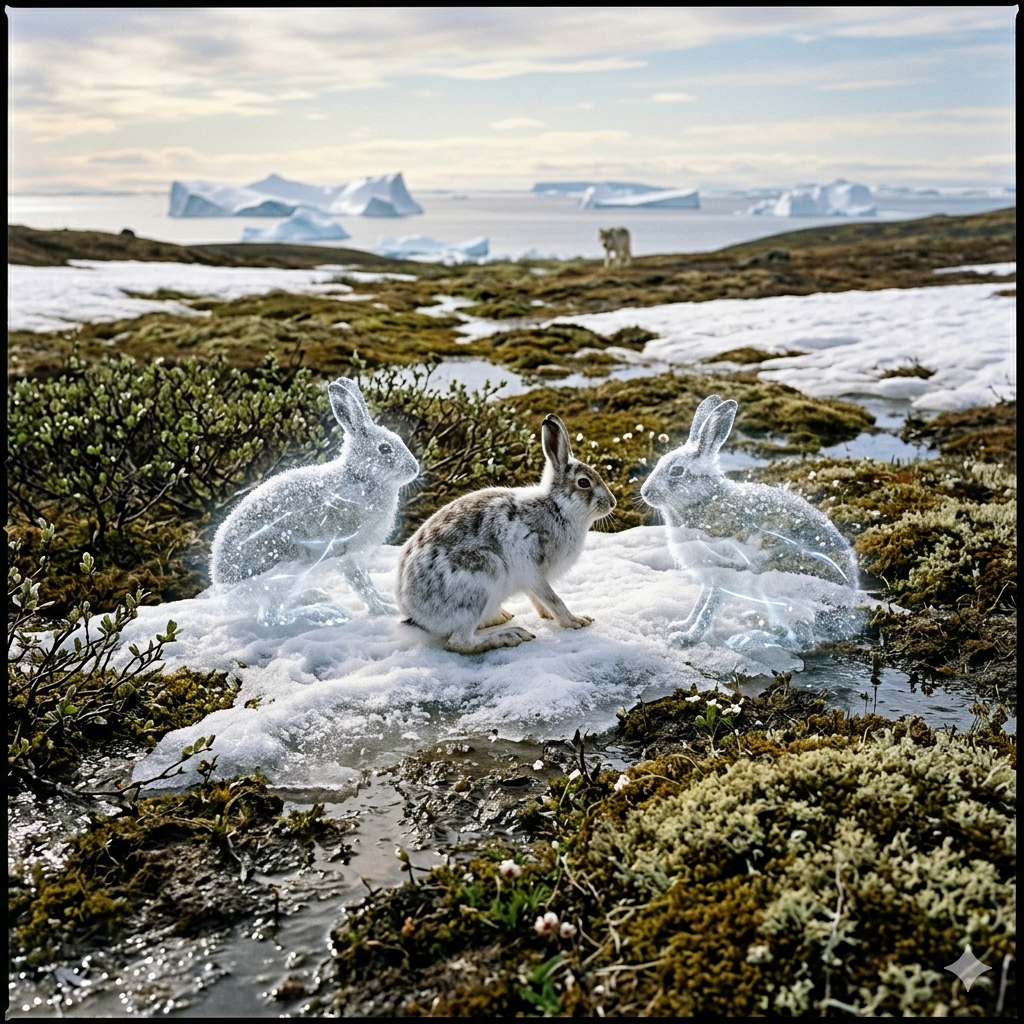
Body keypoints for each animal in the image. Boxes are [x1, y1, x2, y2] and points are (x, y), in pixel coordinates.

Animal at [211, 377, 419, 616]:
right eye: (385, 449)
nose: (415, 468)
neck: (359, 476)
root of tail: (222, 585)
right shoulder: (347, 555)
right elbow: (361, 585)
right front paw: (384, 610)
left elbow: (368, 583)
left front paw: (385, 601)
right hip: (284, 560)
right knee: (273, 615)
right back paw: (318, 610)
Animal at [397, 414, 616, 654]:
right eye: (583, 482)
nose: (612, 503)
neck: (557, 507)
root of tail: (415, 613)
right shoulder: (531, 570)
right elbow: (552, 597)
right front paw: (574, 621)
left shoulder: (532, 581)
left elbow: (539, 599)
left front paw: (548, 616)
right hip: (482, 576)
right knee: (459, 642)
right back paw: (510, 635)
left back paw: (499, 617)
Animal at [640, 394, 859, 648]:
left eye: (677, 470)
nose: (645, 492)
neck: (706, 500)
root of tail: (844, 619)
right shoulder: (709, 577)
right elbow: (699, 604)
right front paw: (680, 625)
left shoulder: (725, 576)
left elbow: (707, 611)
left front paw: (686, 638)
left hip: (779, 592)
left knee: (803, 640)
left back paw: (752, 638)